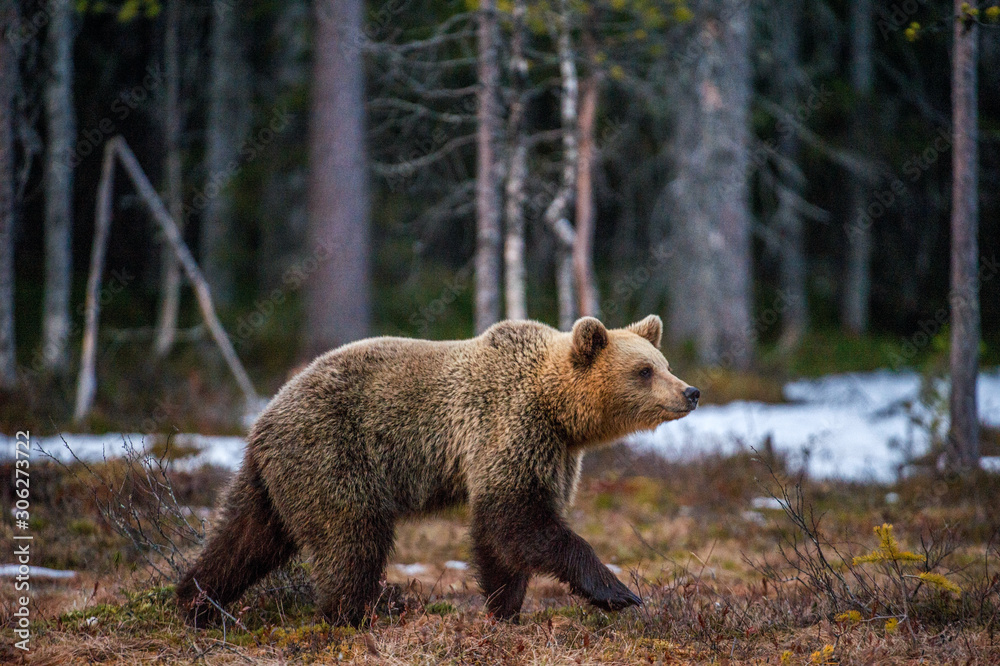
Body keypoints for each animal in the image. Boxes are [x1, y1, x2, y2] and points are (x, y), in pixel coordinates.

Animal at [176, 315, 699, 626]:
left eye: (664, 363)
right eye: (644, 371)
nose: (690, 391)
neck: (559, 410)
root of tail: (263, 416)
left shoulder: (553, 452)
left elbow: (500, 536)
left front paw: (504, 608)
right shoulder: (511, 427)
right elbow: (519, 521)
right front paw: (618, 592)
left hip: (274, 476)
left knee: (244, 536)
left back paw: (196, 600)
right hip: (333, 454)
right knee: (350, 536)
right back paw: (368, 608)